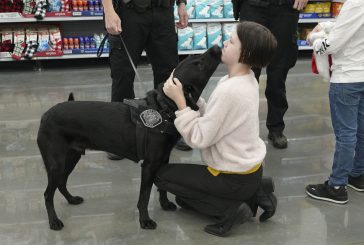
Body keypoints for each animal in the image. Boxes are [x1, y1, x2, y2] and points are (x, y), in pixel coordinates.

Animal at [37, 45, 220, 230]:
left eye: (195, 59)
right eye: (199, 64)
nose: (216, 47)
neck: (165, 108)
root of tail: (45, 115)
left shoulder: (163, 160)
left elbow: (162, 187)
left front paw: (164, 204)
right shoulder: (149, 165)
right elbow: (144, 196)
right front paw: (145, 220)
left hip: (71, 157)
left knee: (61, 183)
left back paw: (71, 199)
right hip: (56, 163)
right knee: (47, 194)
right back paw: (54, 221)